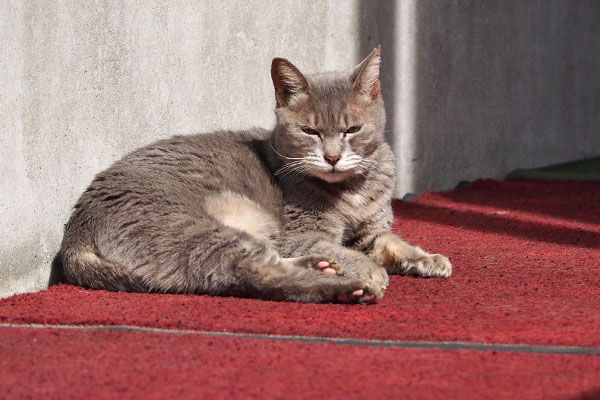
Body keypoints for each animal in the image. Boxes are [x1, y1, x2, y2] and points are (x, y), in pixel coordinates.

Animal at [61, 46, 452, 304]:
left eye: (352, 129)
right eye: (310, 131)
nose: (332, 157)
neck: (351, 187)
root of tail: (75, 231)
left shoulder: (370, 229)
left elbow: (390, 241)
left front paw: (428, 259)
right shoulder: (300, 232)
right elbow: (341, 248)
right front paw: (370, 270)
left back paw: (323, 267)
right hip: (198, 231)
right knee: (260, 274)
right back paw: (347, 285)